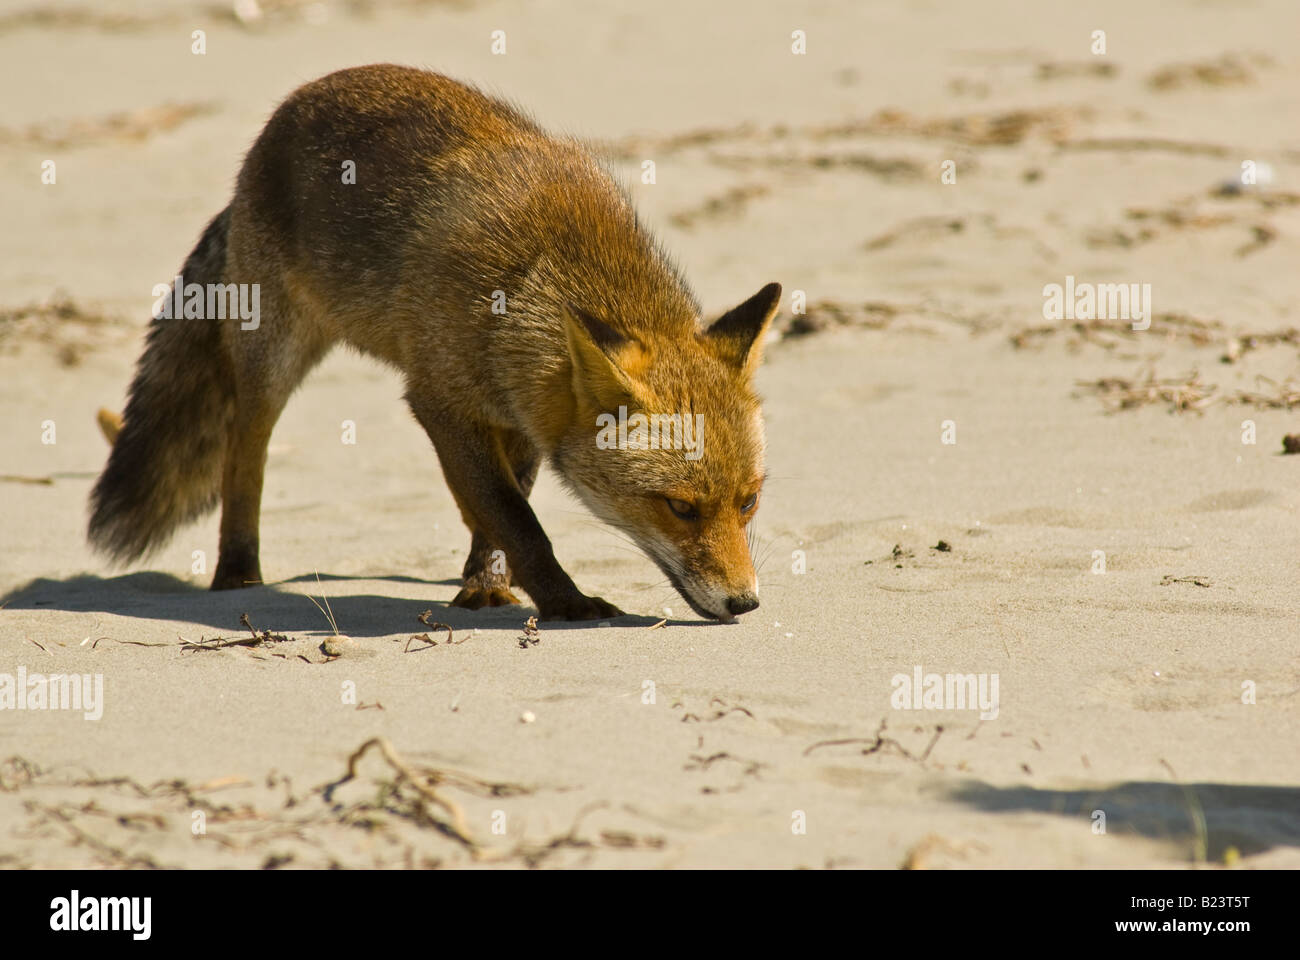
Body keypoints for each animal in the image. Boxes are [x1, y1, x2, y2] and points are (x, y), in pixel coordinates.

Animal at [94, 65, 780, 621]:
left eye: (748, 502)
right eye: (680, 508)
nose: (744, 603)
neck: (532, 276)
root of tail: (284, 115)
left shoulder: (521, 411)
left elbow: (500, 510)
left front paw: (486, 584)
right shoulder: (441, 402)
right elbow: (516, 518)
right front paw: (565, 603)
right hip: (272, 360)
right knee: (244, 458)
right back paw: (238, 574)